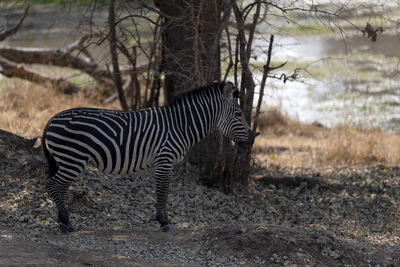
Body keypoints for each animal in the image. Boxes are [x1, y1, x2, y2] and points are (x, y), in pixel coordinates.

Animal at [41, 81, 253, 232]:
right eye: (238, 113)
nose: (252, 139)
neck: (180, 125)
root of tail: (50, 120)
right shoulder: (164, 159)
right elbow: (162, 191)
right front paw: (164, 222)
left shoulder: (162, 162)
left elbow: (160, 191)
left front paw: (161, 219)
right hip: (73, 159)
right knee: (53, 185)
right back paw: (65, 223)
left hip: (69, 161)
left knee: (59, 187)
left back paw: (64, 220)